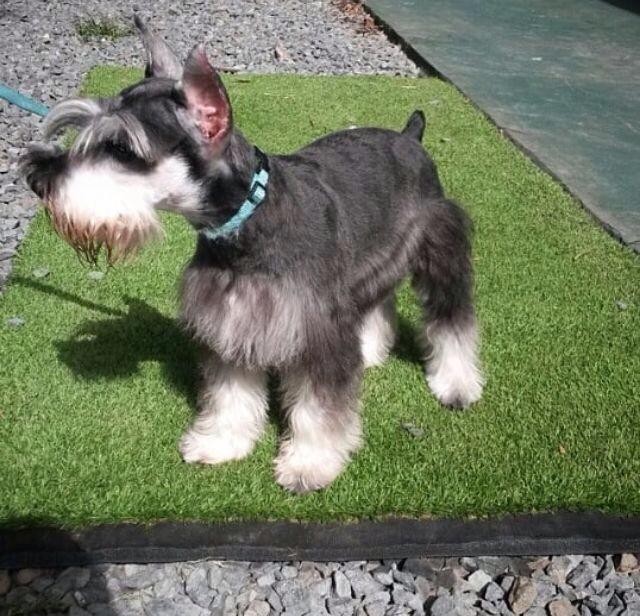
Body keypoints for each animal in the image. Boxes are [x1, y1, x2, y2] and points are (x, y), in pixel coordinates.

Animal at [20, 16, 482, 494]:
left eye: (121, 148)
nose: (37, 179)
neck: (248, 223)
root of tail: (411, 137)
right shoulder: (231, 321)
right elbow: (231, 395)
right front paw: (220, 443)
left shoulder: (315, 331)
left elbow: (318, 409)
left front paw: (309, 464)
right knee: (378, 299)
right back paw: (370, 350)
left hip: (439, 250)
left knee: (452, 319)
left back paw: (456, 384)